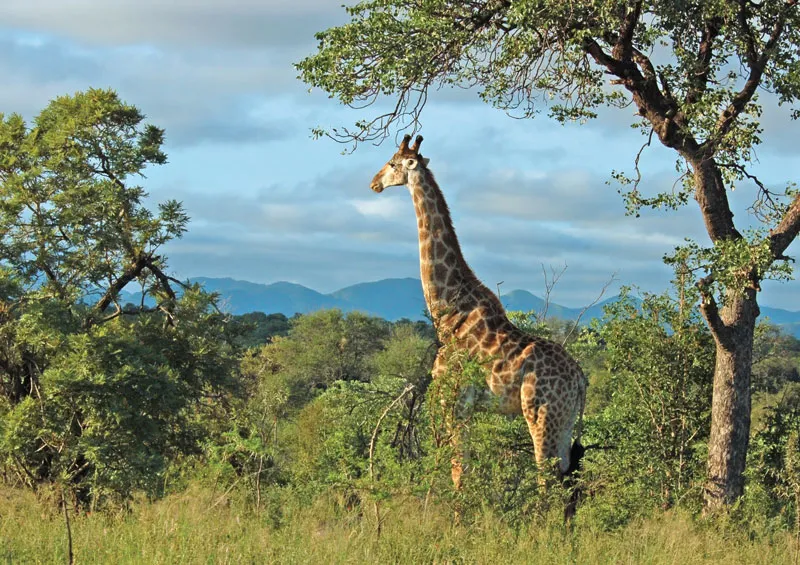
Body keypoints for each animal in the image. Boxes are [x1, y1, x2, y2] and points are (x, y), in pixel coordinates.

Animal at [370, 134, 587, 490]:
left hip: (541, 413)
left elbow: (458, 471)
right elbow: (465, 469)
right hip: (566, 419)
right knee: (569, 481)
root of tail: (582, 378)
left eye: (391, 163)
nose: (373, 183)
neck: (447, 313)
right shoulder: (469, 409)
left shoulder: (454, 401)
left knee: (548, 480)